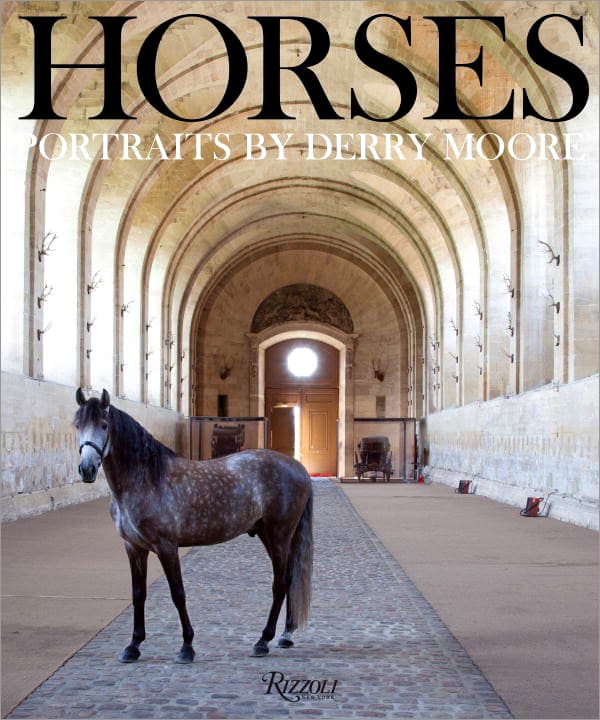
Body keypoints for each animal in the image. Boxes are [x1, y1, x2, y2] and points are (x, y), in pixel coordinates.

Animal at [74, 388, 313, 664]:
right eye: (77, 424)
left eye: (104, 425)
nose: (87, 469)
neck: (147, 479)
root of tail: (298, 468)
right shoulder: (134, 548)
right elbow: (138, 594)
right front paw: (133, 646)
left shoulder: (166, 547)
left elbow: (178, 594)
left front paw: (187, 646)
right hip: (270, 534)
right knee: (289, 580)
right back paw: (286, 635)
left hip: (279, 534)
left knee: (280, 583)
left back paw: (263, 641)